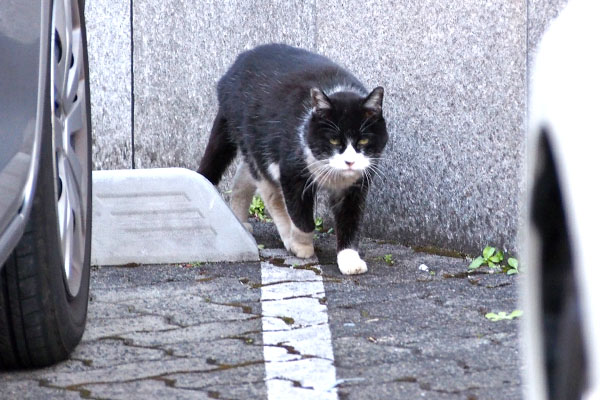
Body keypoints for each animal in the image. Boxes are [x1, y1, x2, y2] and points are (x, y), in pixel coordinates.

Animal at [199, 43, 390, 276]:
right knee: (270, 193)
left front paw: (349, 259)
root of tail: (237, 63)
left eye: (363, 140)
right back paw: (283, 236)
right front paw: (301, 245)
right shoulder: (292, 172)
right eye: (334, 140)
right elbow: (301, 216)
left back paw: (239, 221)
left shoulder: (355, 186)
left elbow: (351, 219)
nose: (350, 162)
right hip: (254, 143)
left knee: (243, 178)